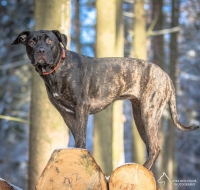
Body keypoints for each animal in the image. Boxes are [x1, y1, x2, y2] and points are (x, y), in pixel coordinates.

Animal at [11, 30, 199, 170]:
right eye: (32, 42)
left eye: (50, 40)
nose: (41, 51)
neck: (56, 70)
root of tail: (166, 75)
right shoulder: (66, 113)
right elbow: (77, 135)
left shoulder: (82, 107)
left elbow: (80, 136)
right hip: (139, 117)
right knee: (151, 146)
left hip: (149, 113)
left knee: (155, 147)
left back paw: (142, 169)